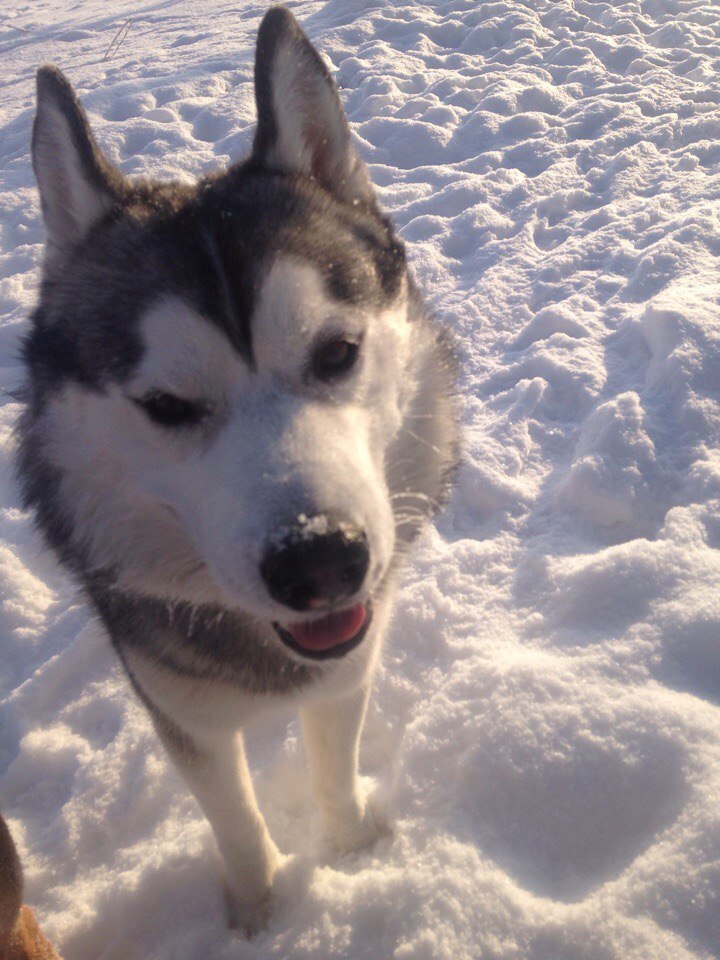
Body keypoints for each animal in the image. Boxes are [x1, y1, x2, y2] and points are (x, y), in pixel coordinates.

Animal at [18, 3, 462, 932]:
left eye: (337, 352)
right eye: (167, 406)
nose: (320, 562)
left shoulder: (348, 667)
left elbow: (335, 770)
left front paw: (351, 855)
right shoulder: (178, 709)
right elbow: (235, 821)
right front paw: (260, 913)